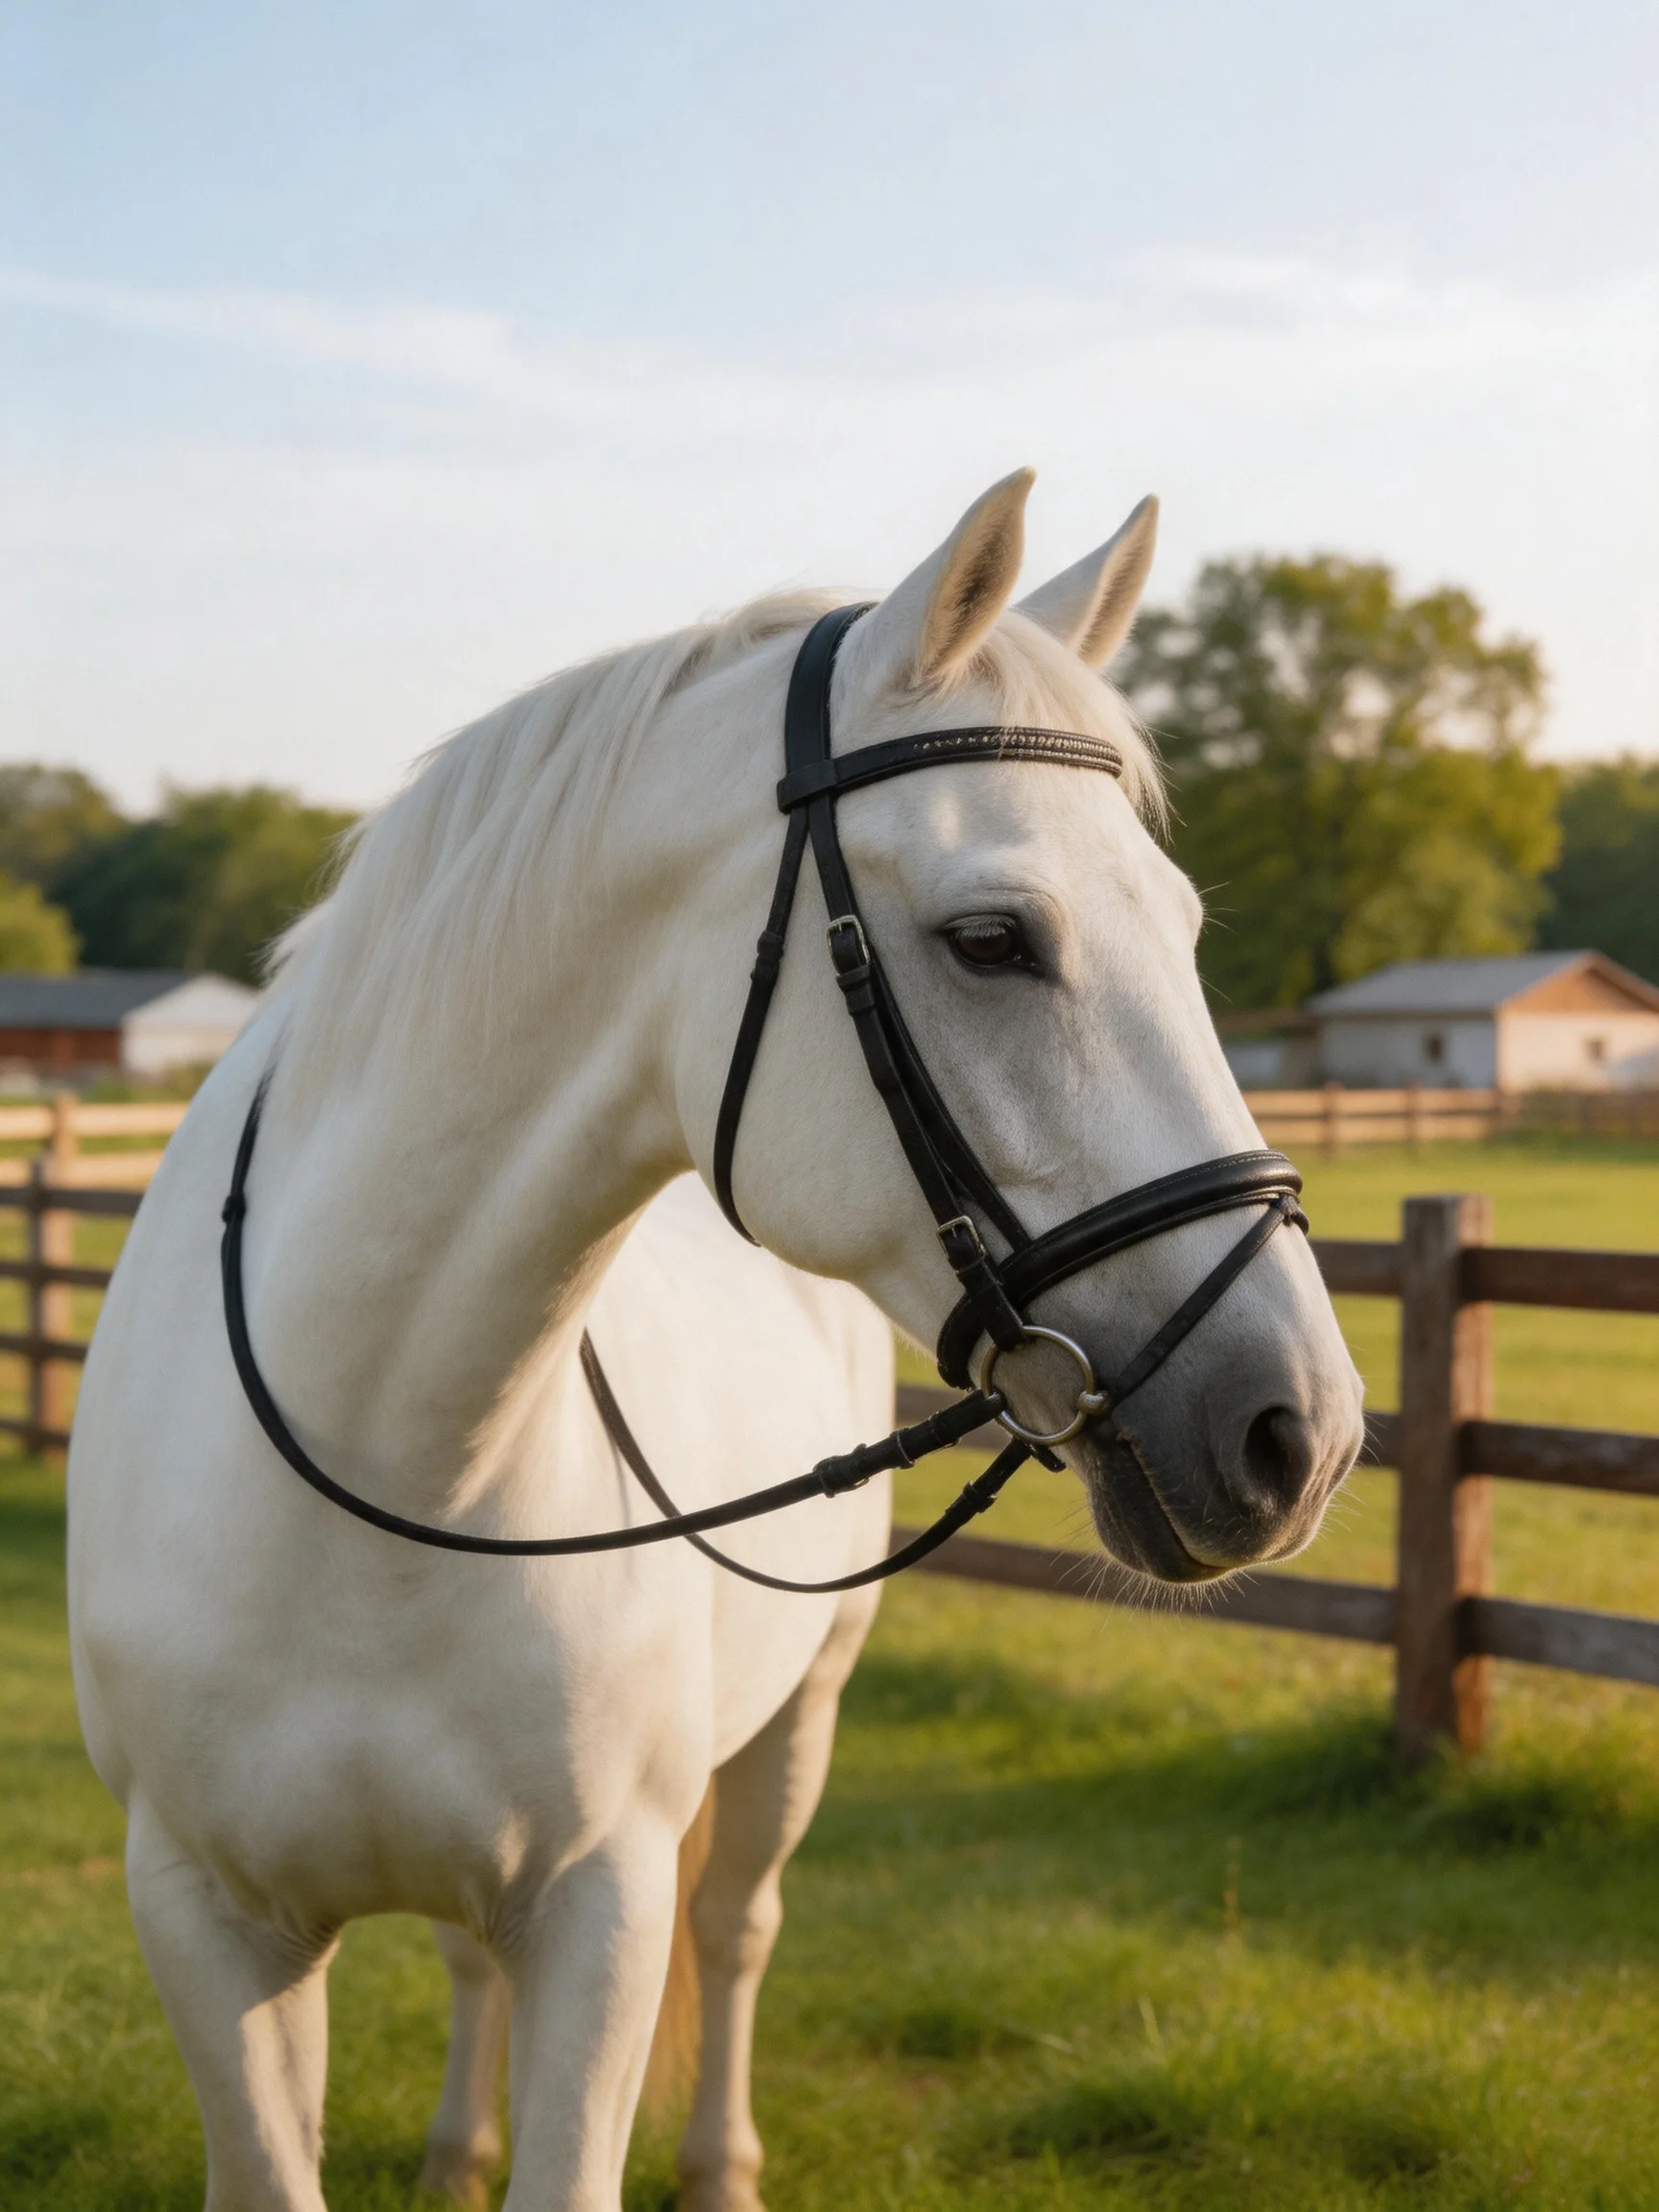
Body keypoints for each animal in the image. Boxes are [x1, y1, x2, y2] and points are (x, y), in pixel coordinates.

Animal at [67, 468, 1365, 2211]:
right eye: (993, 939)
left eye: (1181, 921)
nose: (1303, 1428)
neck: (369, 1464)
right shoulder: (208, 1921)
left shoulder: (601, 1911)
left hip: (798, 1719)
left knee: (738, 1923)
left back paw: (722, 2161)